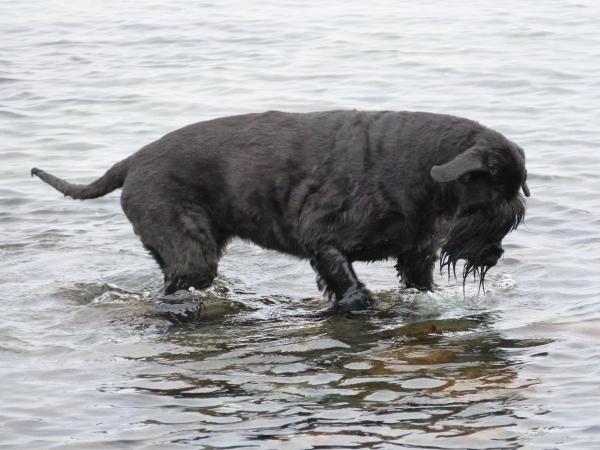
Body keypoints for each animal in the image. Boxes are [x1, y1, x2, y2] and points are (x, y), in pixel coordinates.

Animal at [32, 110, 529, 313]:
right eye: (492, 207)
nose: (493, 255)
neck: (423, 171)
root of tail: (132, 161)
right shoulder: (324, 240)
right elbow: (349, 283)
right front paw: (355, 305)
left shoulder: (416, 257)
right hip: (190, 251)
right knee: (171, 289)